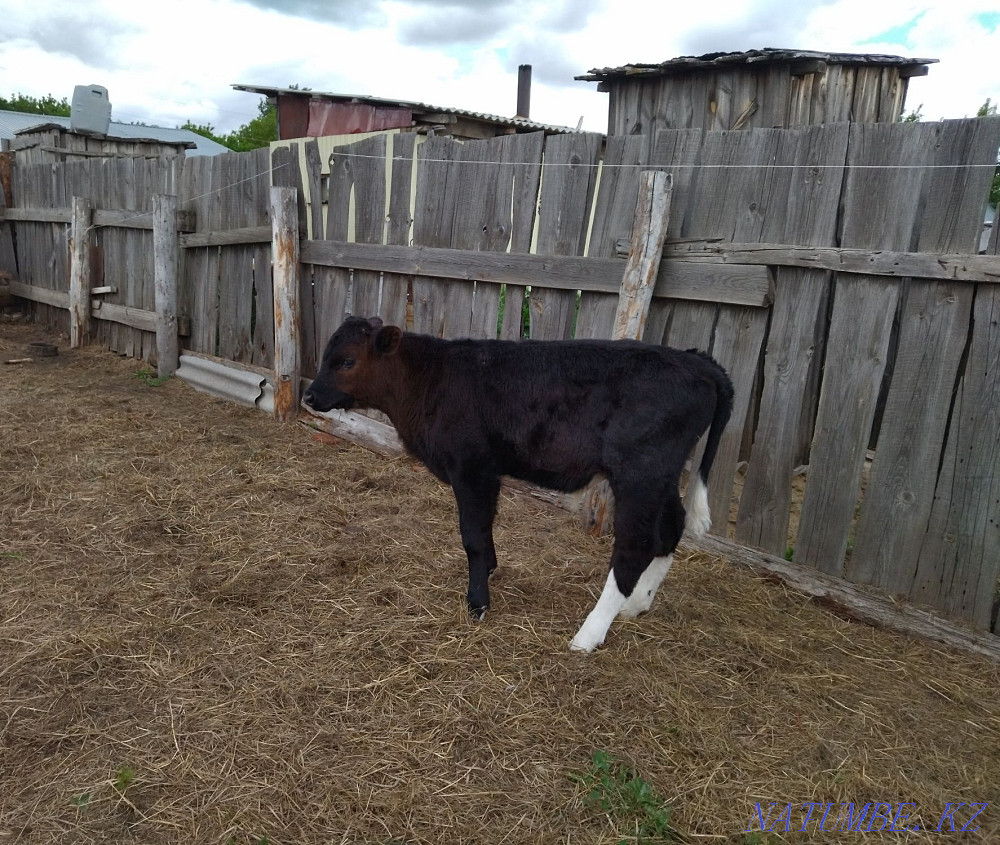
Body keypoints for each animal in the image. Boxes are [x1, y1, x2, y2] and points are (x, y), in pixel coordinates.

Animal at [303, 316, 734, 652]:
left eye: (347, 361)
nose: (309, 395)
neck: (430, 379)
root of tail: (694, 359)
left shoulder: (471, 468)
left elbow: (473, 536)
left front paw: (477, 602)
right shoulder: (488, 473)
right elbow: (486, 529)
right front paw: (491, 571)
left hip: (640, 474)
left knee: (635, 545)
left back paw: (589, 634)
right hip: (662, 478)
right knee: (671, 528)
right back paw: (636, 605)